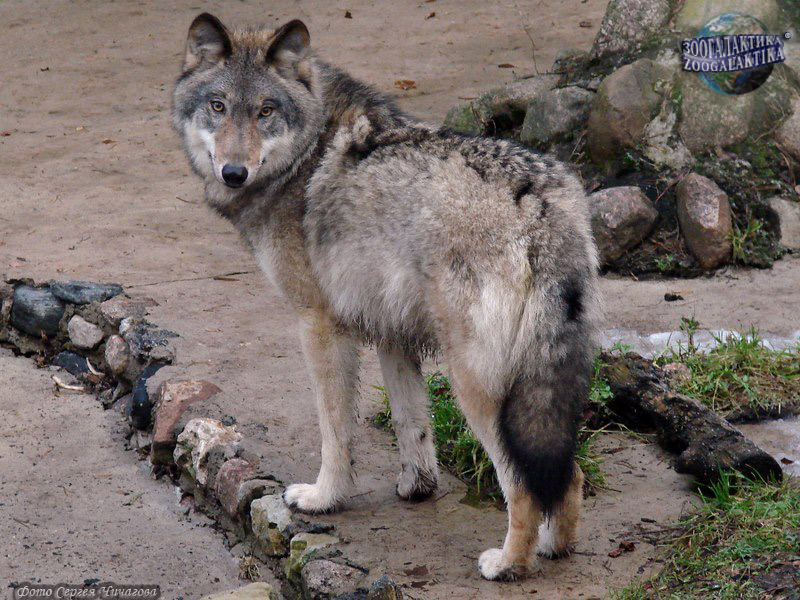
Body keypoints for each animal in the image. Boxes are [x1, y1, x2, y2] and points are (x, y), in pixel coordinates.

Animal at [172, 13, 601, 581]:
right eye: (217, 106)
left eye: (265, 111)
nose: (234, 172)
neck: (305, 156)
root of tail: (537, 200)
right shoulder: (393, 330)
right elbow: (411, 424)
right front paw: (417, 489)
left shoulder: (319, 325)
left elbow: (335, 430)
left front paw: (323, 498)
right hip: (539, 387)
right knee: (567, 474)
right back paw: (556, 548)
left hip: (476, 385)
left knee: (523, 486)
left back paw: (508, 563)